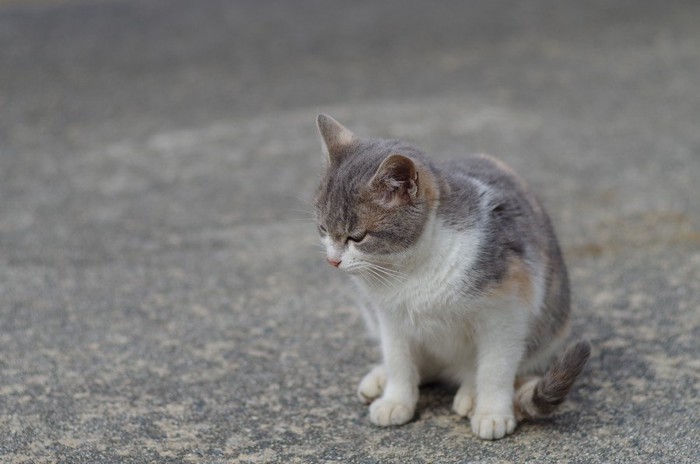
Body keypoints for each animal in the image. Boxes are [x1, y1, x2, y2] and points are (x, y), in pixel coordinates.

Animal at [314, 114, 592, 440]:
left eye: (357, 237)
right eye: (323, 228)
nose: (333, 260)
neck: (412, 269)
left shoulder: (506, 313)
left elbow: (495, 368)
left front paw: (492, 412)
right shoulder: (390, 317)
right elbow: (398, 360)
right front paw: (396, 400)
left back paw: (471, 393)